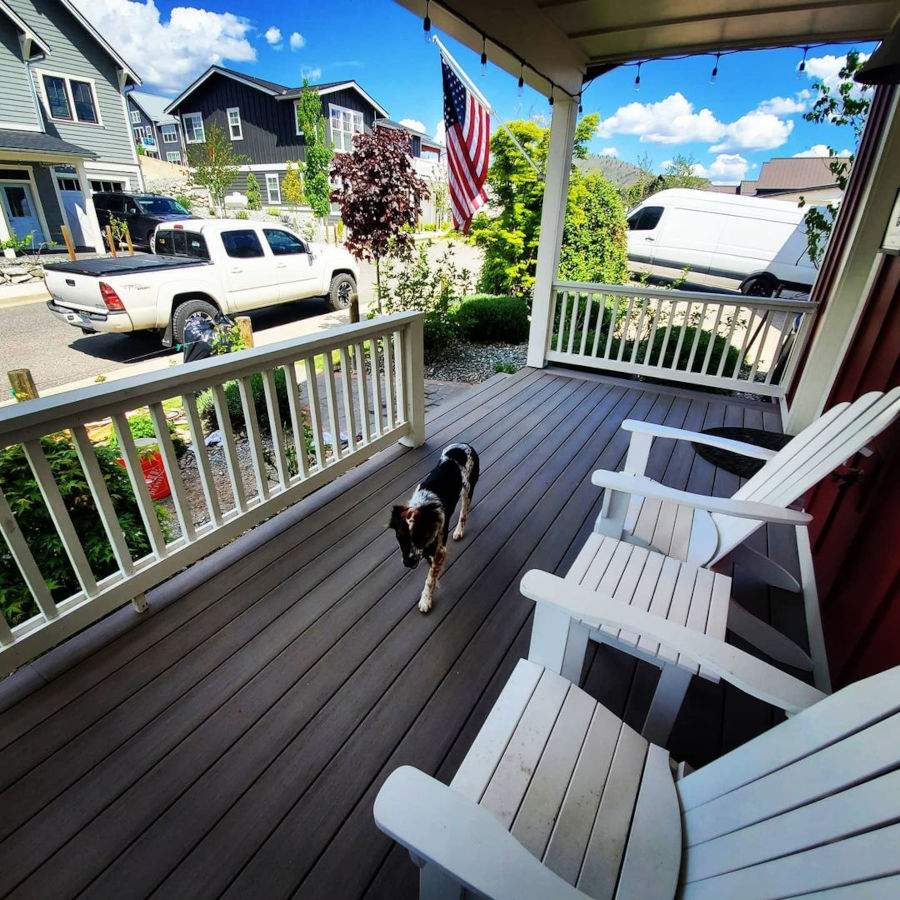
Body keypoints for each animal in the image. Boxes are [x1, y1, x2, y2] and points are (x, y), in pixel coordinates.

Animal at [390, 442, 482, 612]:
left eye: (418, 536)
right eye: (399, 537)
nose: (408, 563)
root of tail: (465, 445)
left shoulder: (439, 549)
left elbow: (430, 578)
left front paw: (426, 599)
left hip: (468, 489)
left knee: (464, 512)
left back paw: (459, 531)